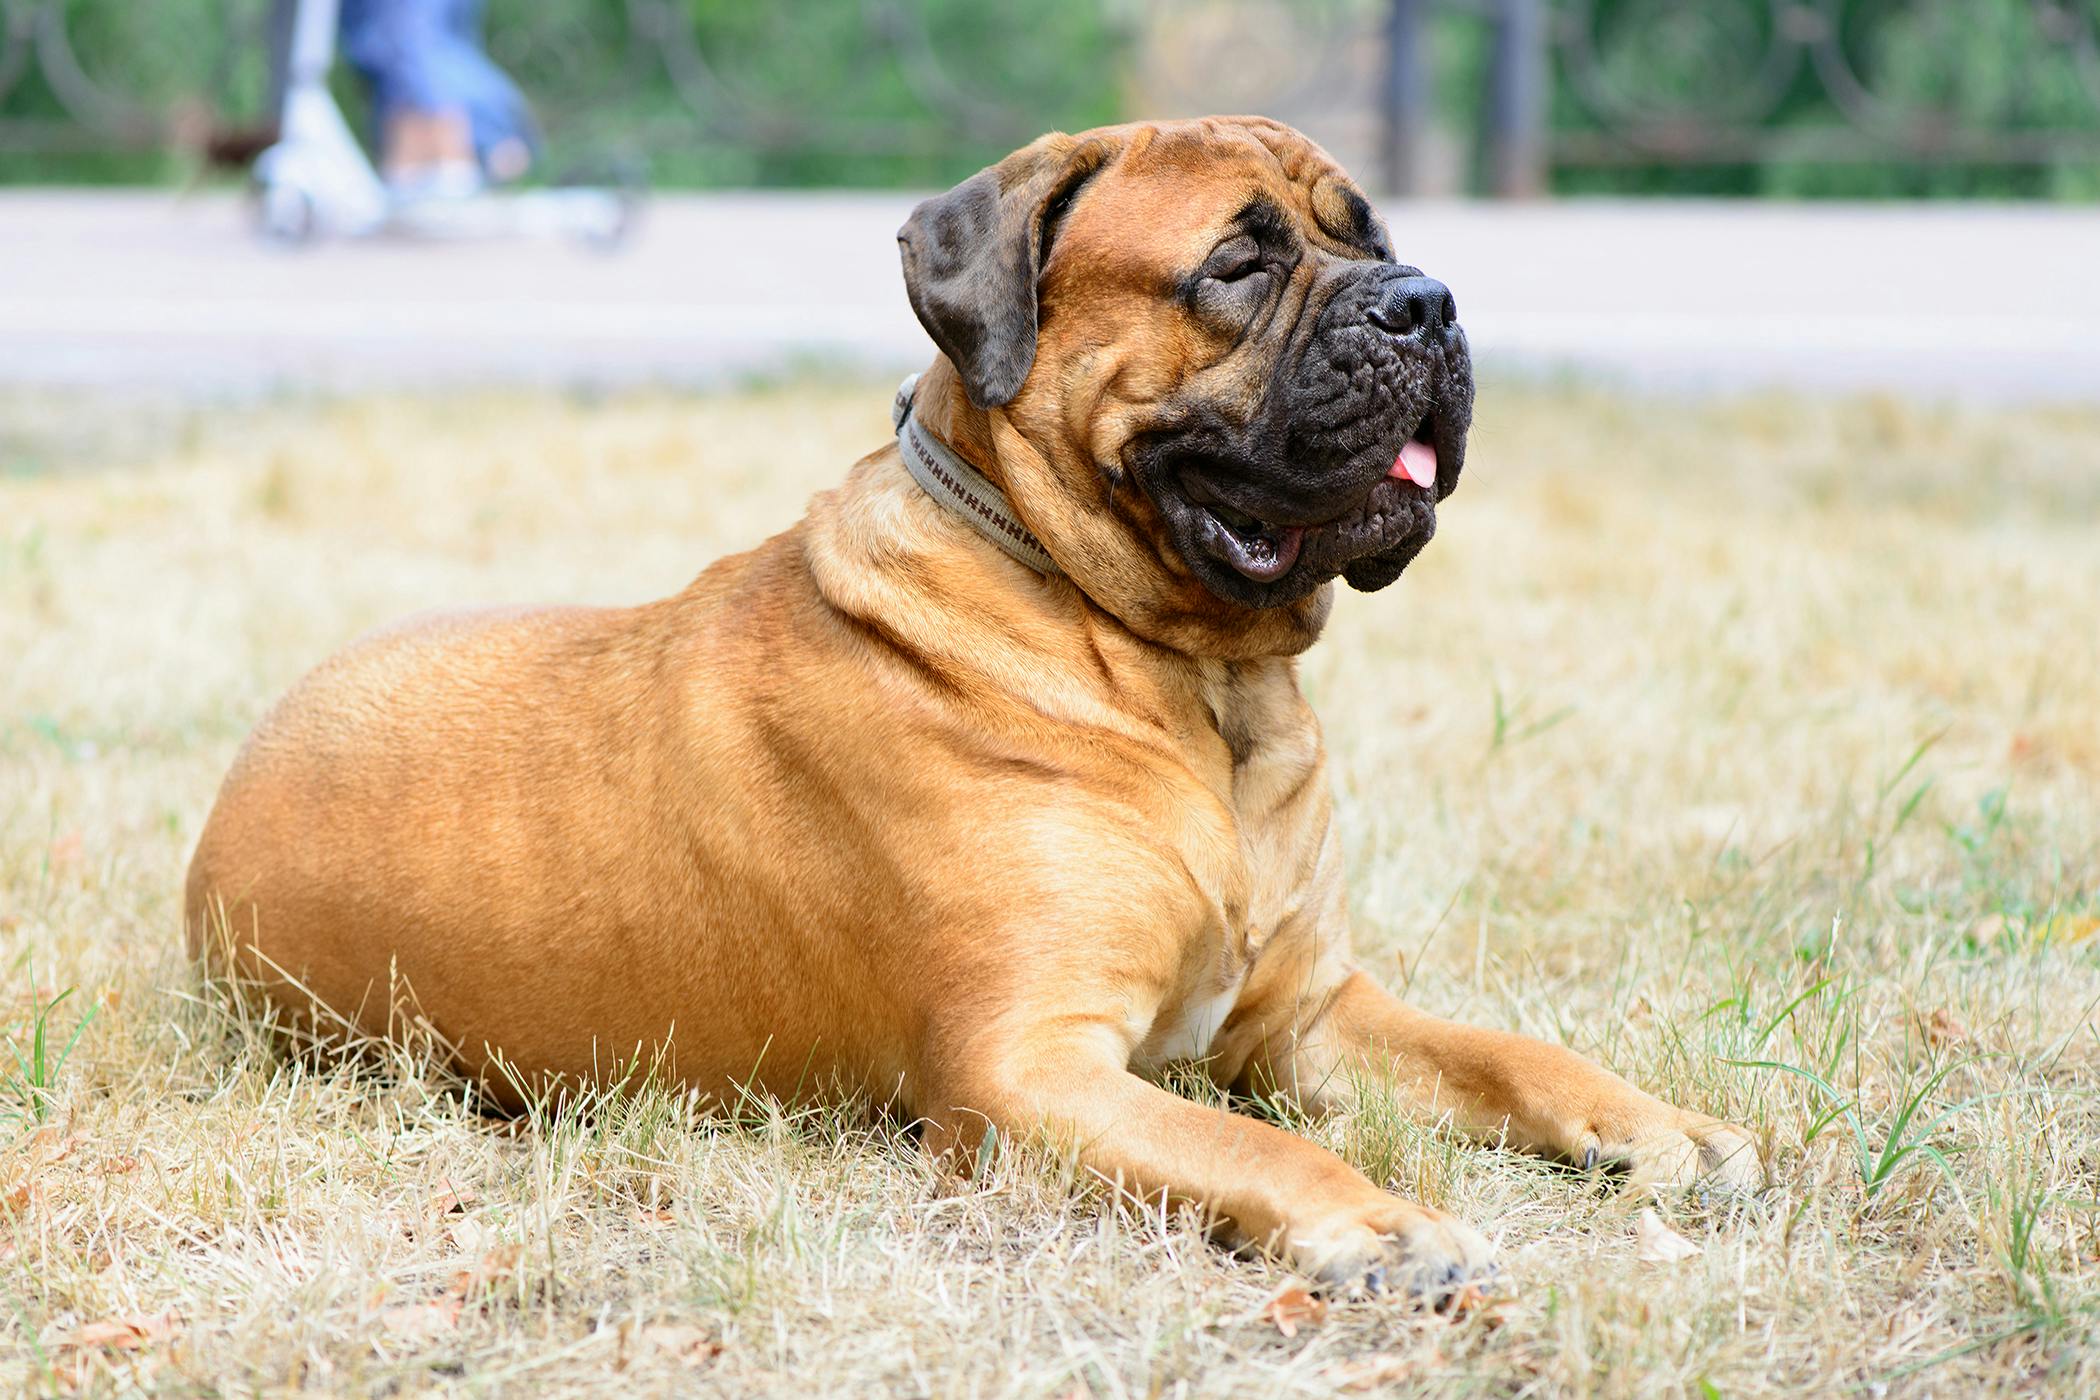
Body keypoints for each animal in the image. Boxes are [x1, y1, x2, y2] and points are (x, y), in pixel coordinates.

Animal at [188, 114, 1755, 1301]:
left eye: (1370, 237)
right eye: (1238, 262)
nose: (1425, 298)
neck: (1193, 678)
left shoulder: (1306, 1015)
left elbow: (1512, 1052)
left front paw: (1661, 1125)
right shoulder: (1024, 1068)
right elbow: (1254, 1148)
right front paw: (1377, 1221)